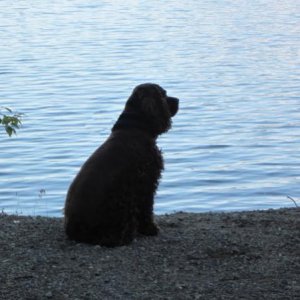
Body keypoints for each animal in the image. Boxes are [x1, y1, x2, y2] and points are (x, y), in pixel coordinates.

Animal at [63, 84, 178, 246]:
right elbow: (147, 209)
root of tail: (74, 231)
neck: (135, 128)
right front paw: (150, 229)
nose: (178, 100)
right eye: (163, 95)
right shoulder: (146, 182)